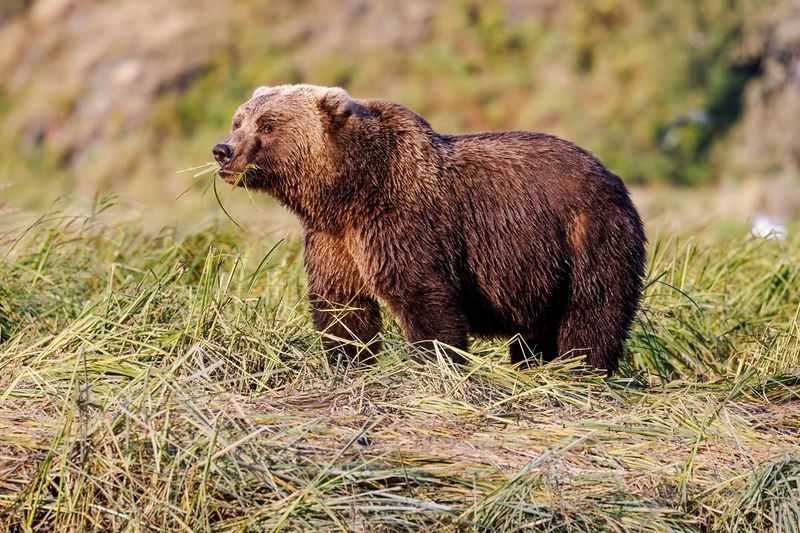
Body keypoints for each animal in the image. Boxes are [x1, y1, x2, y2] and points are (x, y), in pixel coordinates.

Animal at [214, 84, 648, 374]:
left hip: (588, 235)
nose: (223, 150)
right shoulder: (332, 239)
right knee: (538, 328)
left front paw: (435, 362)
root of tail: (612, 177)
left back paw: (580, 370)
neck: (348, 190)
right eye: (239, 120)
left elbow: (425, 298)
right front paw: (348, 360)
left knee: (592, 310)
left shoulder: (404, 221)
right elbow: (342, 304)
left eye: (267, 125)